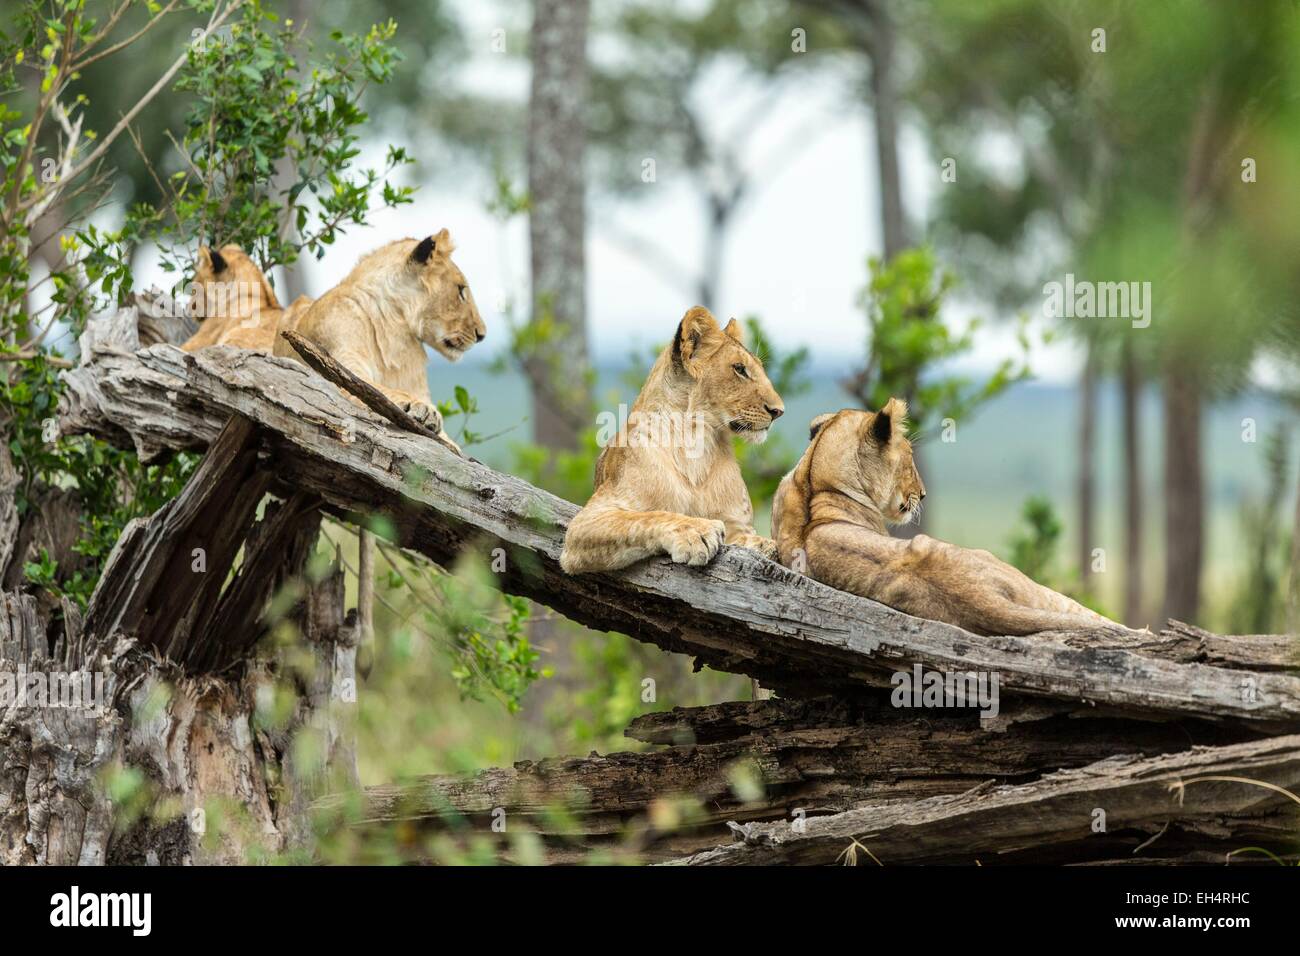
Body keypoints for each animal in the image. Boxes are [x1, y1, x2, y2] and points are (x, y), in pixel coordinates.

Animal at [272, 229, 484, 442]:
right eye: (461, 290)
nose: (482, 335)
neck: (395, 327)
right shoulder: (336, 358)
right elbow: (370, 388)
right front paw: (421, 409)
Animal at [560, 306, 785, 574]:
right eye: (740, 369)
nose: (778, 411)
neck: (697, 444)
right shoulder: (588, 520)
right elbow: (645, 517)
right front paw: (697, 531)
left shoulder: (737, 525)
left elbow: (751, 539)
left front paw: (765, 545)